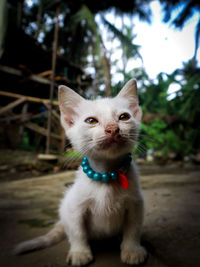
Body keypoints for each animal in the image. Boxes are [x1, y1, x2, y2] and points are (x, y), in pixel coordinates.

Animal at [14, 79, 147, 266]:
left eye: (124, 117)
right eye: (91, 121)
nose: (112, 128)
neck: (106, 175)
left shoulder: (136, 203)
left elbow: (133, 228)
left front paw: (132, 249)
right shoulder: (74, 208)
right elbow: (78, 232)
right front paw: (80, 253)